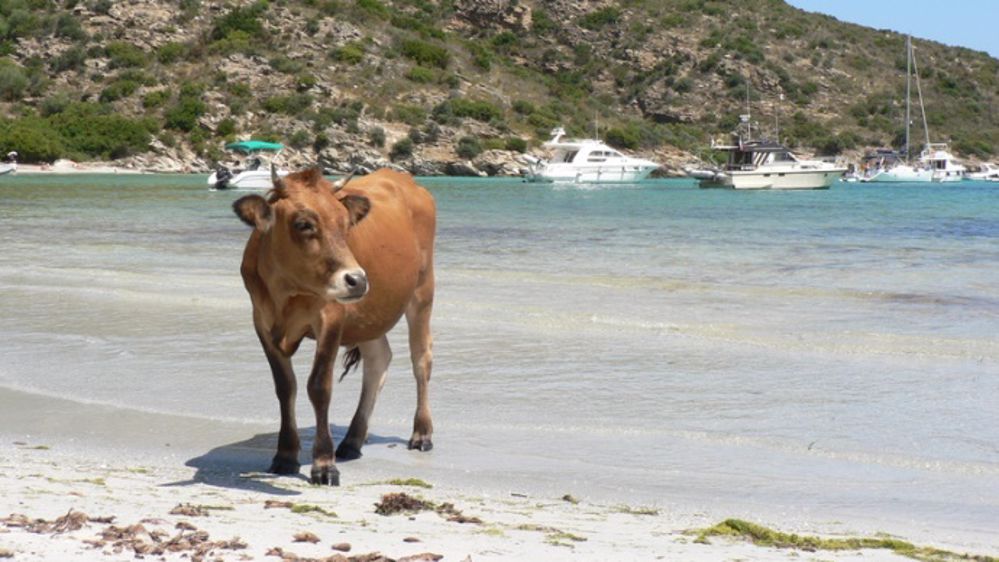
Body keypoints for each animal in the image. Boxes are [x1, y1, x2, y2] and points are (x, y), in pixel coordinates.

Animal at [232, 167, 436, 486]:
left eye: (345, 223)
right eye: (303, 224)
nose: (357, 280)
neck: (287, 293)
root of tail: (402, 178)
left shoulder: (332, 316)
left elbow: (319, 386)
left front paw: (324, 465)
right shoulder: (261, 321)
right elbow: (285, 387)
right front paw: (285, 455)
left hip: (422, 291)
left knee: (421, 359)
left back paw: (422, 433)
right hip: (370, 314)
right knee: (378, 360)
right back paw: (352, 440)